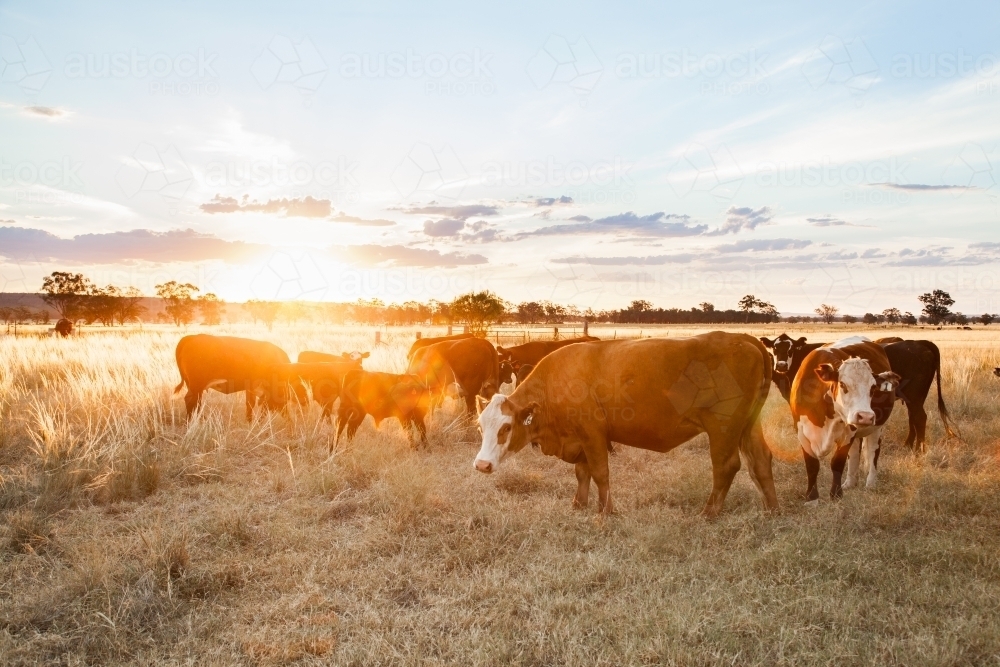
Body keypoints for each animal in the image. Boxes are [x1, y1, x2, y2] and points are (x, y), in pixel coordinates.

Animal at [473, 333, 778, 518]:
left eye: (506, 428)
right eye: (480, 428)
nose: (481, 465)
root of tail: (741, 338)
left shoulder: (593, 434)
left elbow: (600, 473)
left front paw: (605, 511)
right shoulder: (579, 438)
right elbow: (582, 473)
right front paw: (579, 504)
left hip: (723, 428)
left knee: (726, 466)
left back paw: (709, 513)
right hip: (749, 426)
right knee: (761, 461)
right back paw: (771, 509)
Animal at [790, 339, 900, 503]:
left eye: (873, 387)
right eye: (842, 384)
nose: (865, 416)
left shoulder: (848, 433)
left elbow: (837, 463)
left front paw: (836, 495)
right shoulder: (801, 433)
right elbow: (812, 465)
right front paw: (812, 498)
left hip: (876, 427)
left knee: (873, 450)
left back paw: (871, 483)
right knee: (854, 452)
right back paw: (850, 482)